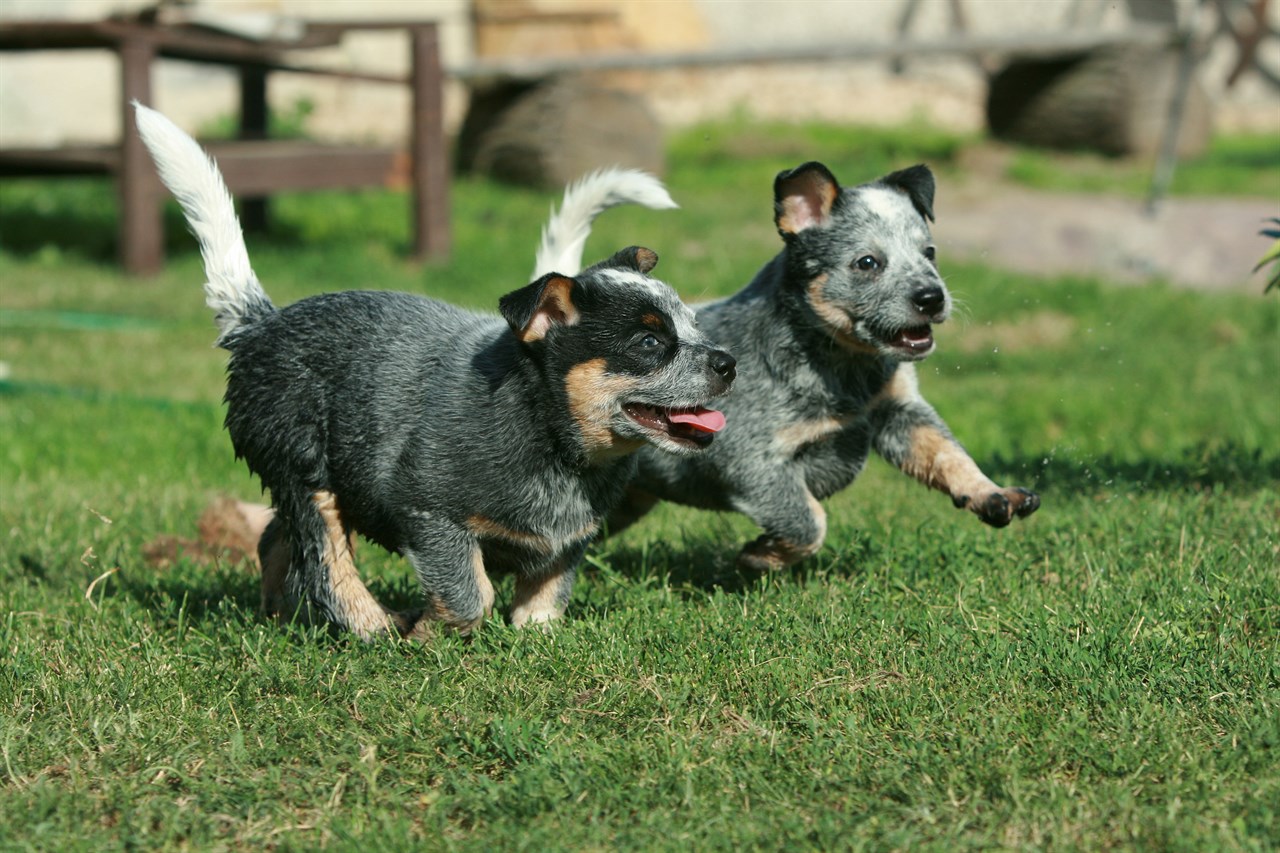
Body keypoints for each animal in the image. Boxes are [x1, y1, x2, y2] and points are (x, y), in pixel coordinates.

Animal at [133, 103, 737, 635]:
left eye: (694, 324)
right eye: (648, 342)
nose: (728, 362)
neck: (550, 437)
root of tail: (260, 324)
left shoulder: (567, 539)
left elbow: (545, 597)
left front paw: (536, 635)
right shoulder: (428, 513)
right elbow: (470, 593)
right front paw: (429, 633)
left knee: (278, 543)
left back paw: (279, 615)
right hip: (304, 469)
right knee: (325, 560)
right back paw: (374, 627)